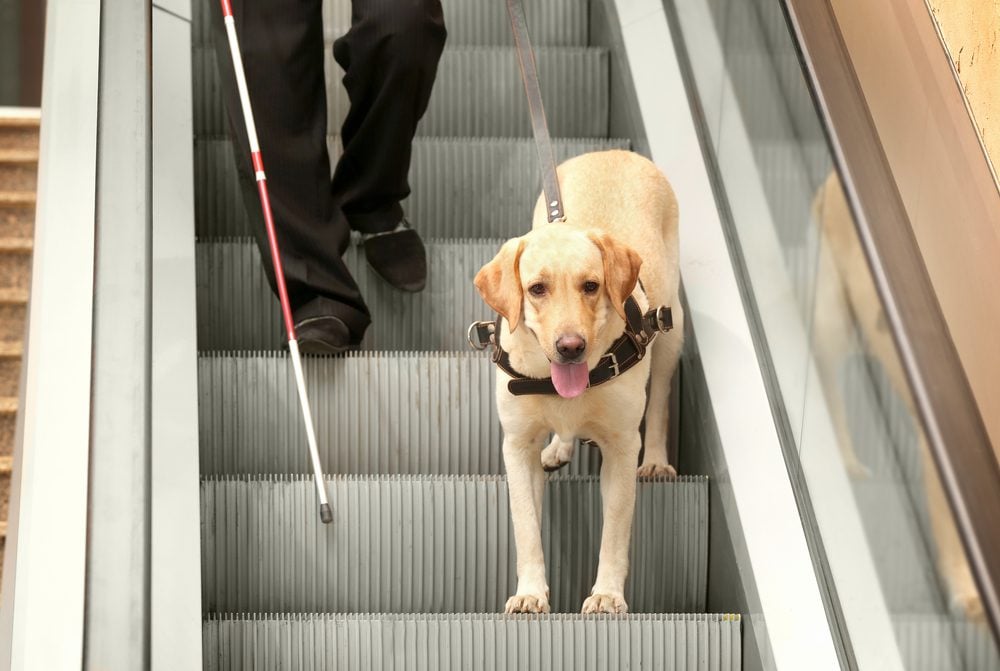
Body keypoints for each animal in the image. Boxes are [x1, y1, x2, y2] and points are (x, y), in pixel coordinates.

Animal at [474, 152, 680, 616]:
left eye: (591, 286)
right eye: (536, 289)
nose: (571, 347)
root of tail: (613, 152)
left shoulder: (621, 447)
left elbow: (615, 532)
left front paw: (607, 594)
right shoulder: (517, 446)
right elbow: (526, 528)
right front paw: (530, 592)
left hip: (670, 326)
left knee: (660, 399)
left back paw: (657, 460)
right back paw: (559, 447)